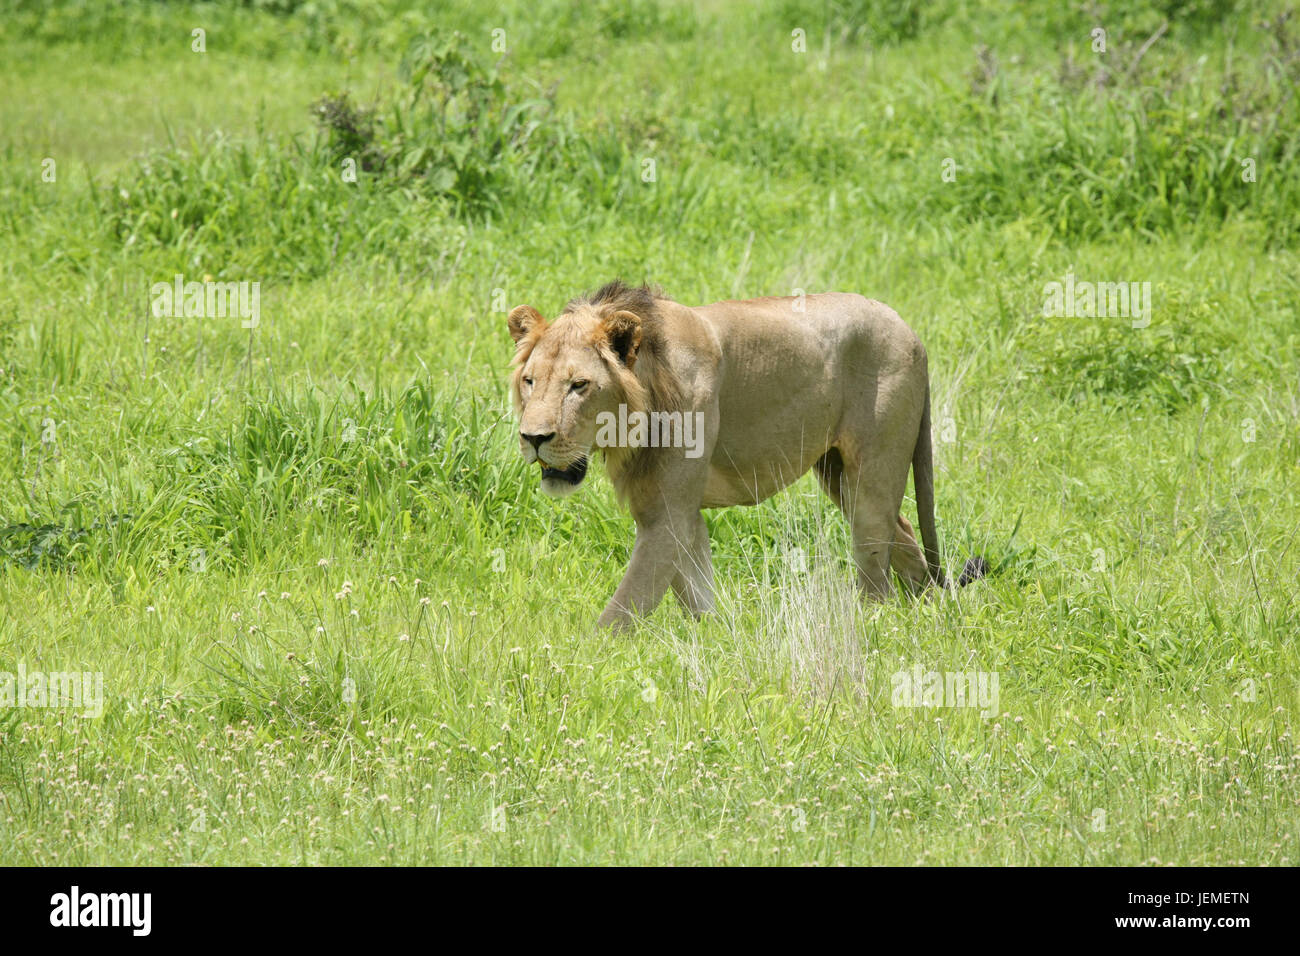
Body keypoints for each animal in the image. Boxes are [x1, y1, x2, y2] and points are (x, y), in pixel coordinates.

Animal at [507, 281, 984, 630]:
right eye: (530, 381)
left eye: (579, 385)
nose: (533, 437)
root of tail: (912, 333)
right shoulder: (674, 511)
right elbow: (696, 590)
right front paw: (717, 638)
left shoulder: (666, 515)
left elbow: (622, 611)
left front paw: (582, 659)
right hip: (837, 475)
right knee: (905, 540)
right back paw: (928, 612)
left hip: (871, 480)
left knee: (876, 570)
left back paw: (876, 624)